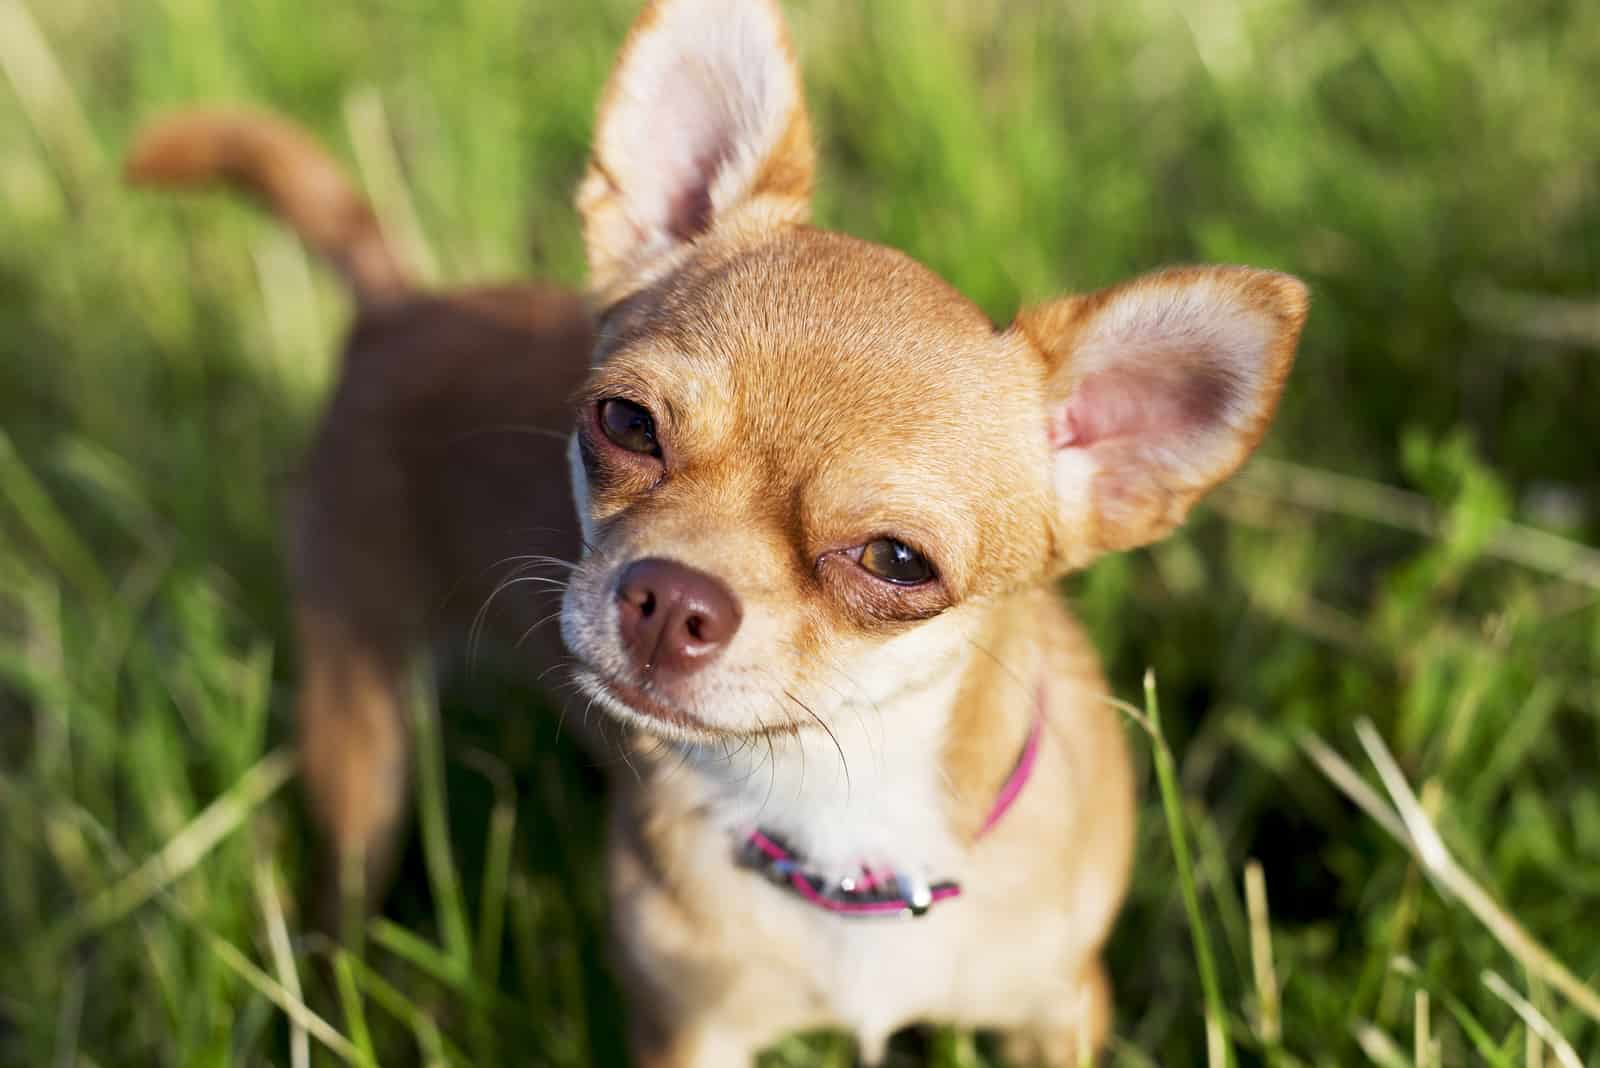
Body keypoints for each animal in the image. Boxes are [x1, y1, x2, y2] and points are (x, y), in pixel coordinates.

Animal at [124, 2, 1305, 1061]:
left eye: (897, 562)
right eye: (625, 423)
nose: (671, 598)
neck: (841, 824)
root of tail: (398, 307)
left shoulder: (1054, 1012)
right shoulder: (690, 1032)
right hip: (356, 713)